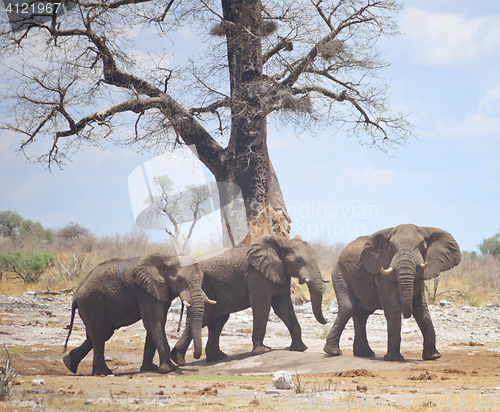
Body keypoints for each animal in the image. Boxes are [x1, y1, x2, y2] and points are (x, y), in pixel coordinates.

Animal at [62, 253, 213, 374]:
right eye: (179, 280)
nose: (188, 360)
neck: (167, 257)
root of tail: (76, 294)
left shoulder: (159, 291)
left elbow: (157, 323)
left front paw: (150, 369)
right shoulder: (144, 291)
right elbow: (154, 322)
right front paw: (170, 370)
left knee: (99, 334)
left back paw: (69, 364)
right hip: (93, 303)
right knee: (100, 334)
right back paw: (102, 372)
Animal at [170, 233, 330, 366]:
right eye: (298, 260)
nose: (327, 320)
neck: (281, 243)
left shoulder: (281, 274)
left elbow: (283, 308)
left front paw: (300, 349)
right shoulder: (257, 275)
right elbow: (263, 306)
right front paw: (263, 351)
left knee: (219, 320)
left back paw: (215, 358)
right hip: (203, 287)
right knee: (205, 317)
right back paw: (178, 359)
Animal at [324, 224, 460, 362]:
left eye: (422, 246)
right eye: (392, 248)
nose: (407, 315)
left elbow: (421, 308)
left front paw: (433, 357)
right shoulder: (381, 272)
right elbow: (393, 308)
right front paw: (394, 359)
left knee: (361, 314)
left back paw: (364, 354)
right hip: (340, 274)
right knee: (348, 308)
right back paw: (333, 352)